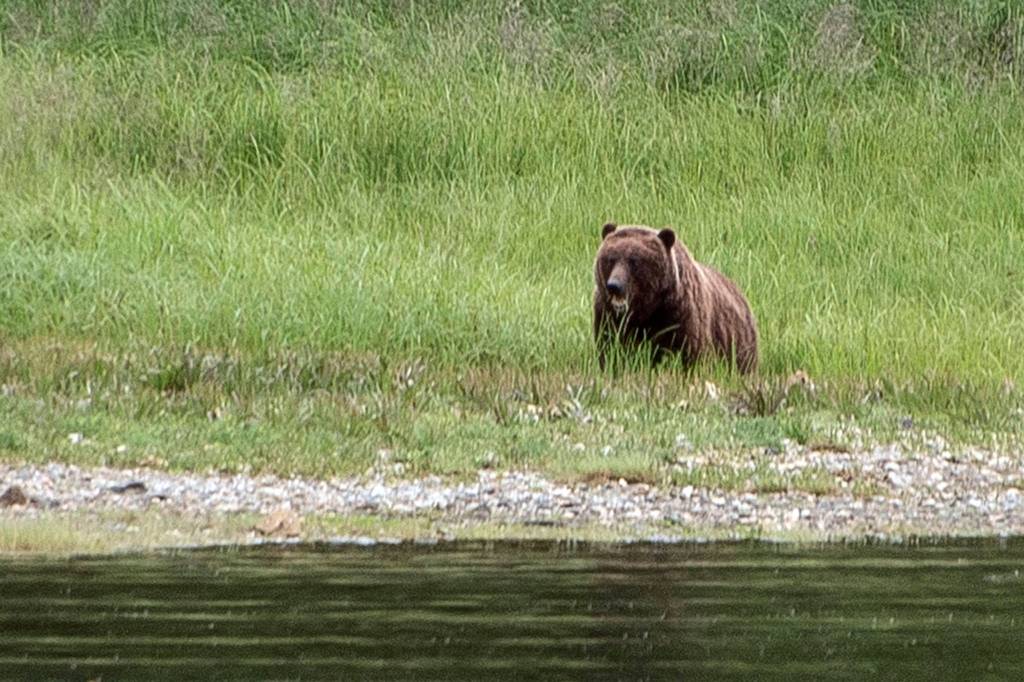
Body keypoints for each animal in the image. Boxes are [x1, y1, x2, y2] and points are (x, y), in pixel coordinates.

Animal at [593, 222, 758, 373]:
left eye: (634, 261)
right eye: (611, 258)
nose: (614, 285)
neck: (647, 310)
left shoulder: (679, 315)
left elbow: (690, 356)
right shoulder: (609, 318)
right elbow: (610, 352)